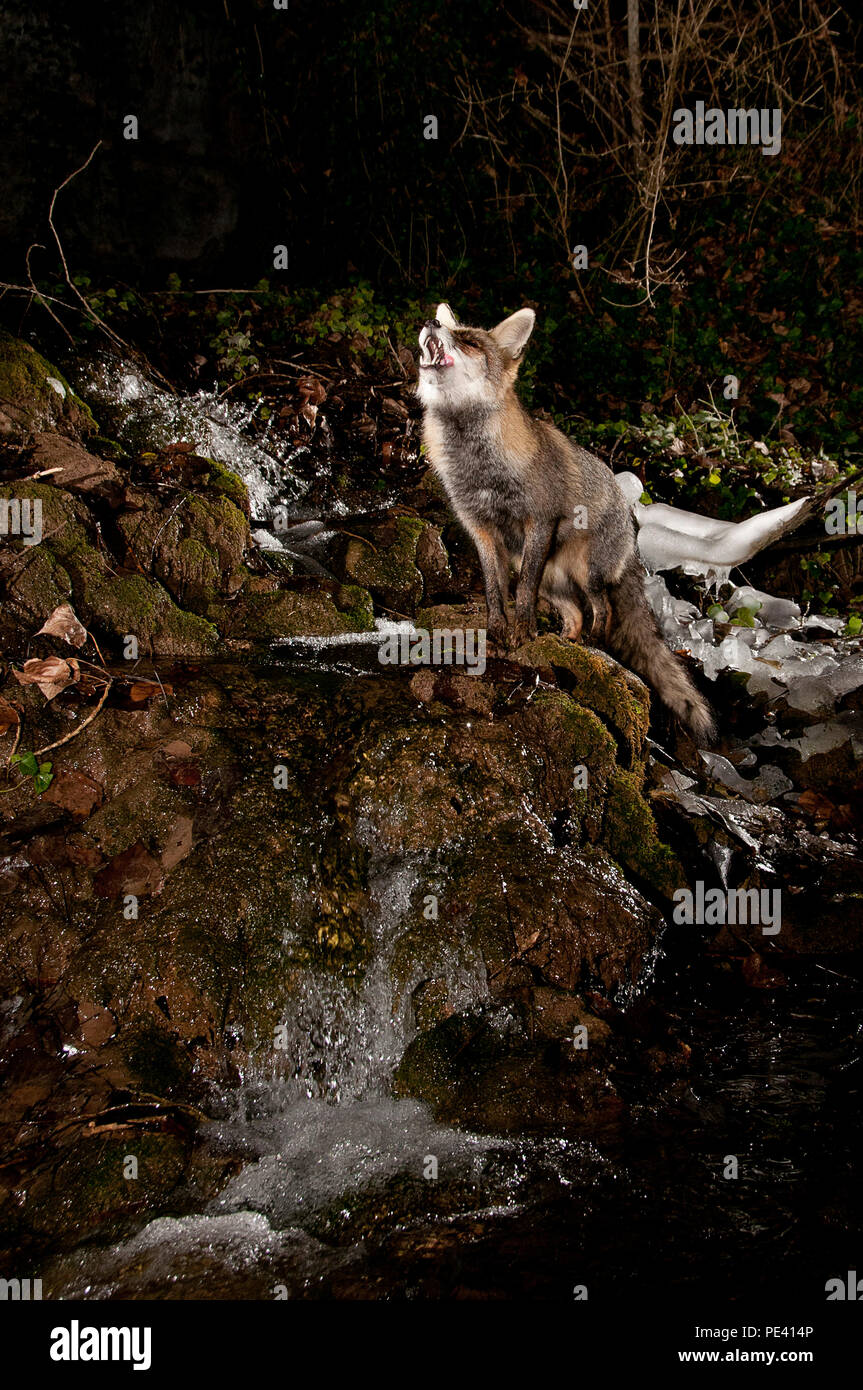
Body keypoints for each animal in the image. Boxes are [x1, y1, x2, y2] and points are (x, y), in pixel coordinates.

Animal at [416, 300, 711, 745]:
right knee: (574, 613)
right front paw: (497, 632)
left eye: (469, 341)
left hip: (589, 573)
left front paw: (522, 633)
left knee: (602, 609)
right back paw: (567, 642)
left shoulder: (538, 522)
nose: (431, 321)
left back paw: (591, 642)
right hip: (554, 584)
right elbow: (494, 590)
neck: (479, 468)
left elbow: (521, 593)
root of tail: (633, 534)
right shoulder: (480, 529)